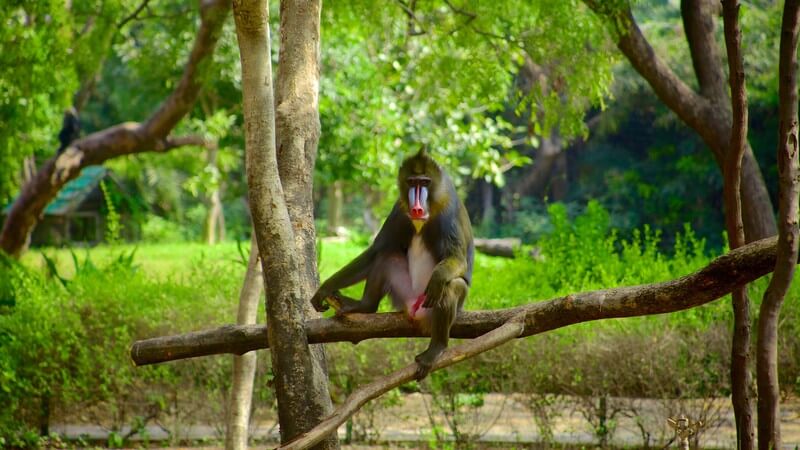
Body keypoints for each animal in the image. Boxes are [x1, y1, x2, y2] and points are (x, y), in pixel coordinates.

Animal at [310, 149, 472, 380]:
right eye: (412, 182)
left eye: (425, 182)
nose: (416, 207)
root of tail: (415, 310)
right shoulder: (399, 210)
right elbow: (377, 250)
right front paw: (325, 288)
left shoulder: (447, 214)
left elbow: (457, 260)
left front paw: (437, 278)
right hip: (403, 293)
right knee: (386, 257)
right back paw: (364, 306)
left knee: (452, 286)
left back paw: (436, 349)